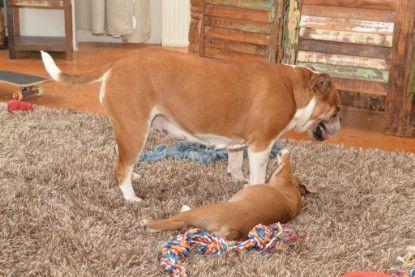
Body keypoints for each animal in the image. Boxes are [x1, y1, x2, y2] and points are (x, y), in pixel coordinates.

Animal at [141, 148, 316, 240]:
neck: (293, 191)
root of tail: (234, 229)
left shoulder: (281, 175)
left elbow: (286, 163)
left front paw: (284, 153)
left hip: (200, 212)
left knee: (174, 222)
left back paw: (150, 224)